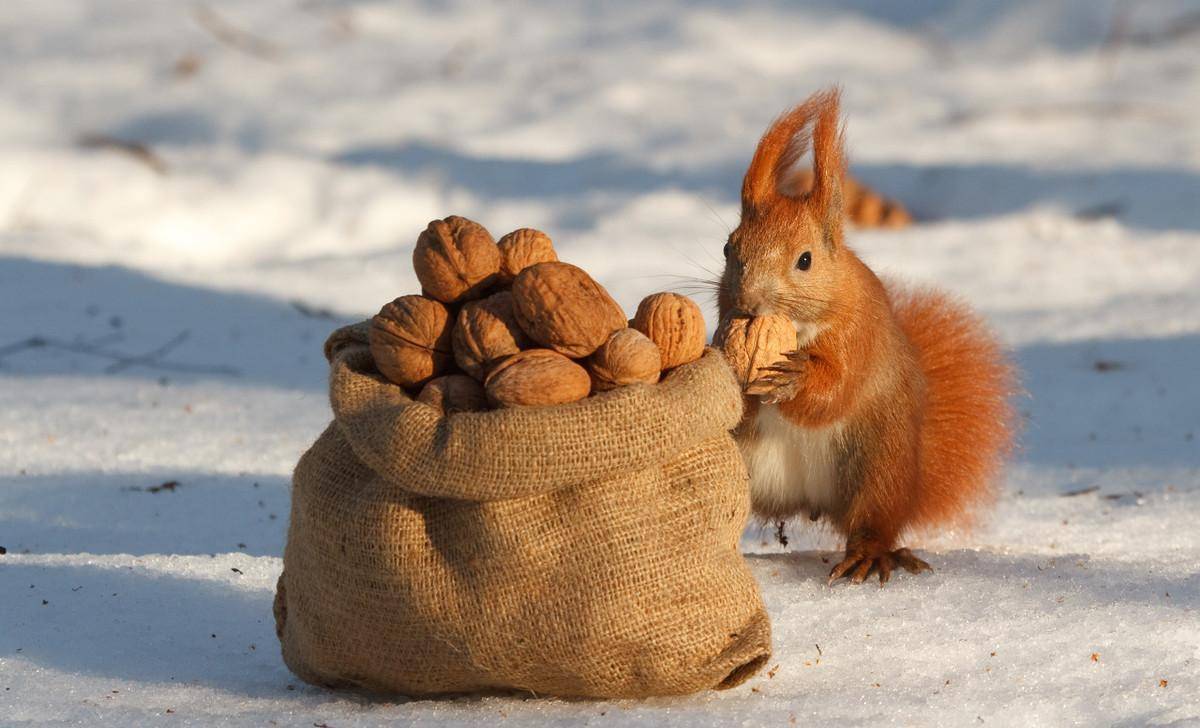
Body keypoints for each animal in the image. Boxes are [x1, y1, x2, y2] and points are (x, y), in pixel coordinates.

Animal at [720, 88, 1012, 587]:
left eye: (805, 260)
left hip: (880, 463)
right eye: (727, 248)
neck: (799, 330)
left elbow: (836, 390)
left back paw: (872, 554)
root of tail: (805, 502)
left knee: (873, 520)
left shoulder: (860, 335)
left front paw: (795, 379)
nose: (749, 305)